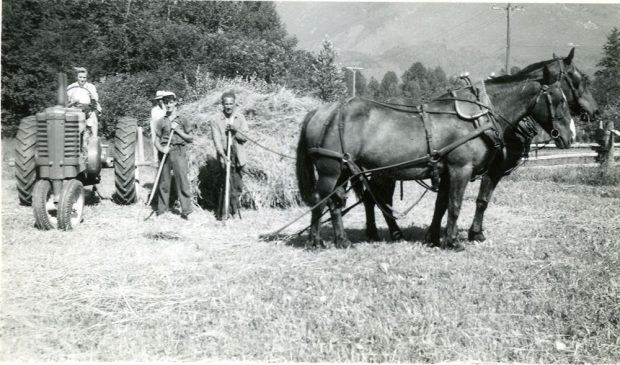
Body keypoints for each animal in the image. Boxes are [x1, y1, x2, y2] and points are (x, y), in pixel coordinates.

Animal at [298, 64, 572, 250]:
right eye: (559, 99)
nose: (570, 136)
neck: (478, 118)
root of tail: (322, 111)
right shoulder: (461, 169)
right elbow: (455, 204)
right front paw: (453, 241)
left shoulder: (448, 171)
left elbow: (442, 204)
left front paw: (436, 238)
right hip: (331, 170)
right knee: (322, 201)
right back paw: (315, 241)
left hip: (344, 170)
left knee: (337, 203)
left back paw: (342, 240)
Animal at [360, 48, 600, 243]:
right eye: (580, 79)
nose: (595, 112)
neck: (489, 114)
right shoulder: (491, 169)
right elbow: (481, 200)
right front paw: (475, 233)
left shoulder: (451, 170)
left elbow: (442, 203)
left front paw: (434, 235)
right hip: (384, 172)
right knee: (377, 198)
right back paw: (390, 233)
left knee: (372, 198)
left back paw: (378, 232)